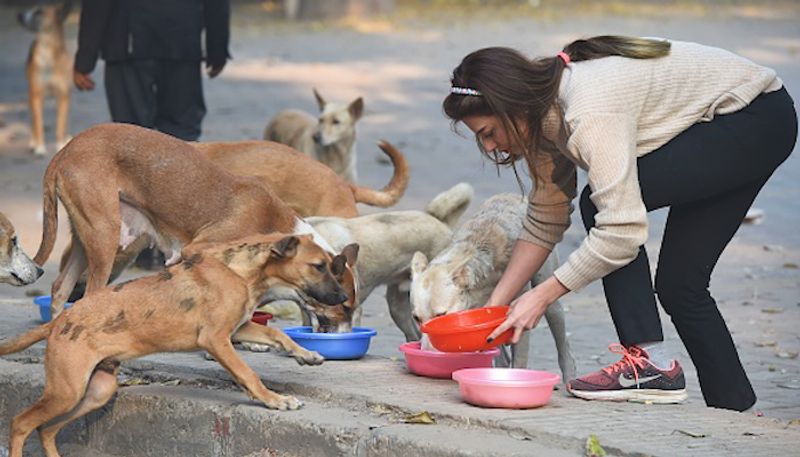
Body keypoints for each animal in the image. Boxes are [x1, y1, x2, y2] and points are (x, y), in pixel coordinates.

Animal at [1, 233, 350, 454]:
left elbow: (279, 336)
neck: (240, 272)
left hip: (95, 391)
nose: (344, 297)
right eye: (319, 266)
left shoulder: (238, 329)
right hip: (66, 391)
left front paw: (307, 354)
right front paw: (274, 399)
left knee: (46, 429)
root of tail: (59, 321)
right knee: (21, 424)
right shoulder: (216, 339)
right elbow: (247, 373)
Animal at [18, 0, 72, 155]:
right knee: (33, 120)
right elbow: (38, 122)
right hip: (31, 93)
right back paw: (33, 141)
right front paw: (40, 147)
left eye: (39, 12)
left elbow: (61, 123)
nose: (19, 15)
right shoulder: (37, 94)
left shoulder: (63, 95)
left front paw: (60, 143)